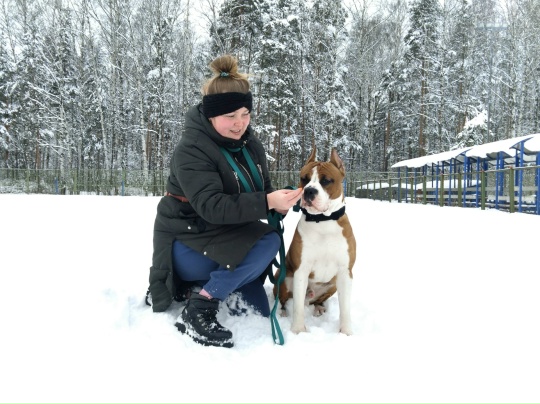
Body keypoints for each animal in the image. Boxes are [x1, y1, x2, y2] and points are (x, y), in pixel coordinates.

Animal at [273, 146, 356, 335]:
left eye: (326, 180)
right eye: (304, 179)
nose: (309, 191)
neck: (323, 220)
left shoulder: (345, 272)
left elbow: (346, 308)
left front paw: (346, 332)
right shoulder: (301, 270)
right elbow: (297, 307)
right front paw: (298, 330)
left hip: (332, 284)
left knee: (316, 300)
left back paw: (318, 307)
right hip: (283, 277)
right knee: (283, 299)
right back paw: (282, 312)